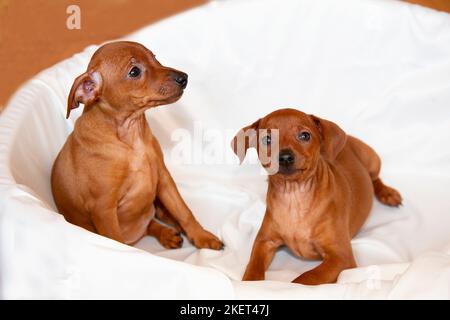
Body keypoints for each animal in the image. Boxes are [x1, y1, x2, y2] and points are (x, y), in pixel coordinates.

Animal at [51, 40, 224, 250]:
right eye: (134, 71)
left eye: (155, 57)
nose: (184, 78)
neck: (131, 137)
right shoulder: (103, 209)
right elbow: (117, 243)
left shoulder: (164, 178)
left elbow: (183, 211)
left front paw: (201, 236)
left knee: (156, 218)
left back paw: (170, 231)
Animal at [232, 108, 400, 284]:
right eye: (267, 139)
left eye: (304, 136)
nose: (285, 157)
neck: (294, 198)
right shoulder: (264, 241)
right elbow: (253, 266)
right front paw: (250, 283)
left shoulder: (341, 257)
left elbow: (306, 277)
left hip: (372, 159)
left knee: (375, 178)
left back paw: (388, 193)